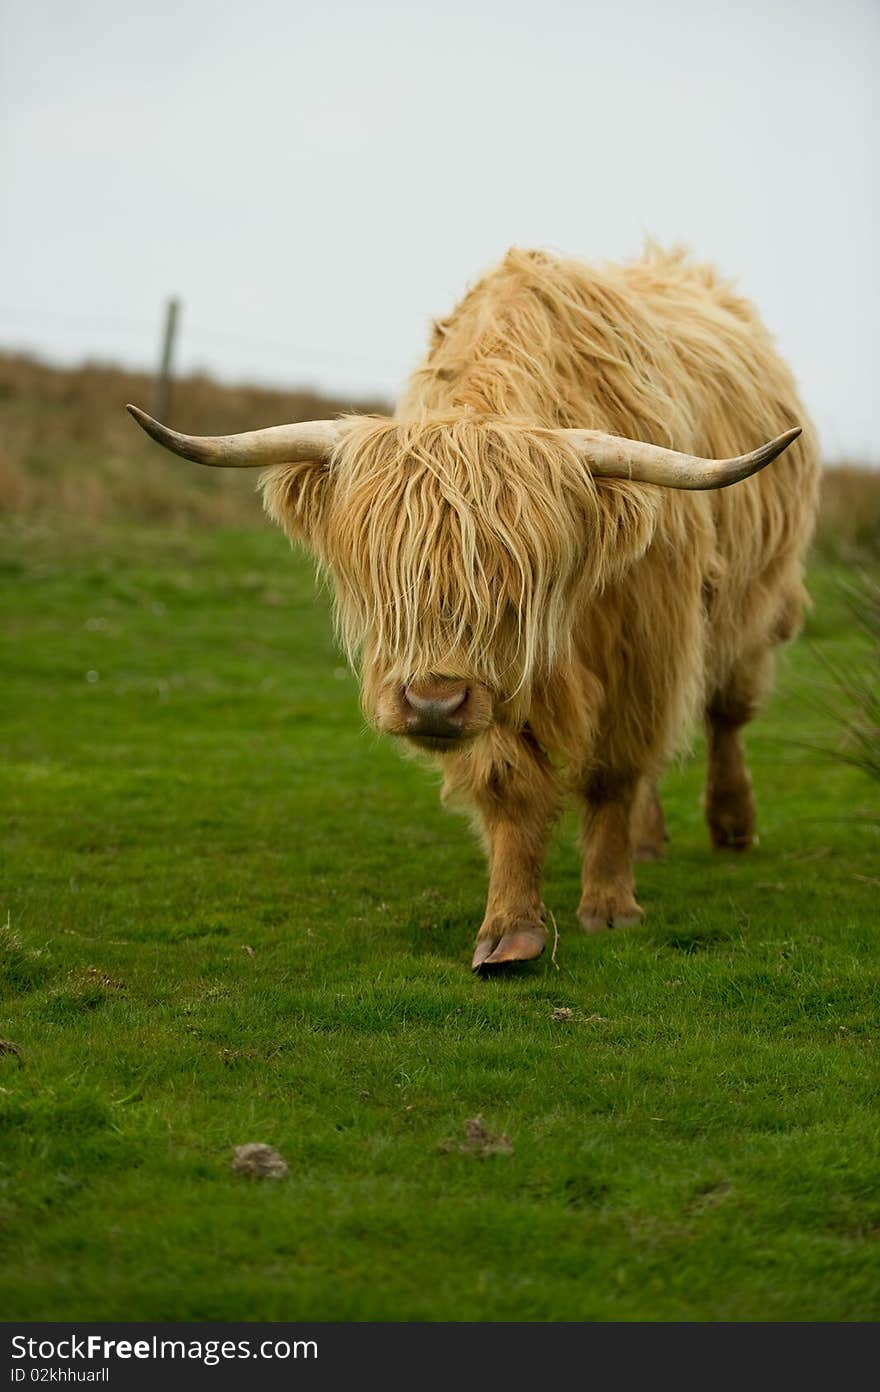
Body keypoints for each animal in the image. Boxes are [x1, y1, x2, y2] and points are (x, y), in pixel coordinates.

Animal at [128, 244, 818, 968]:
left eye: (514, 592)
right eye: (388, 588)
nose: (433, 703)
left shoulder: (643, 641)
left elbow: (614, 771)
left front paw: (610, 906)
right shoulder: (496, 700)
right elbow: (508, 787)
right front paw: (511, 928)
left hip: (756, 602)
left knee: (724, 713)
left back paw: (731, 824)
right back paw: (650, 840)